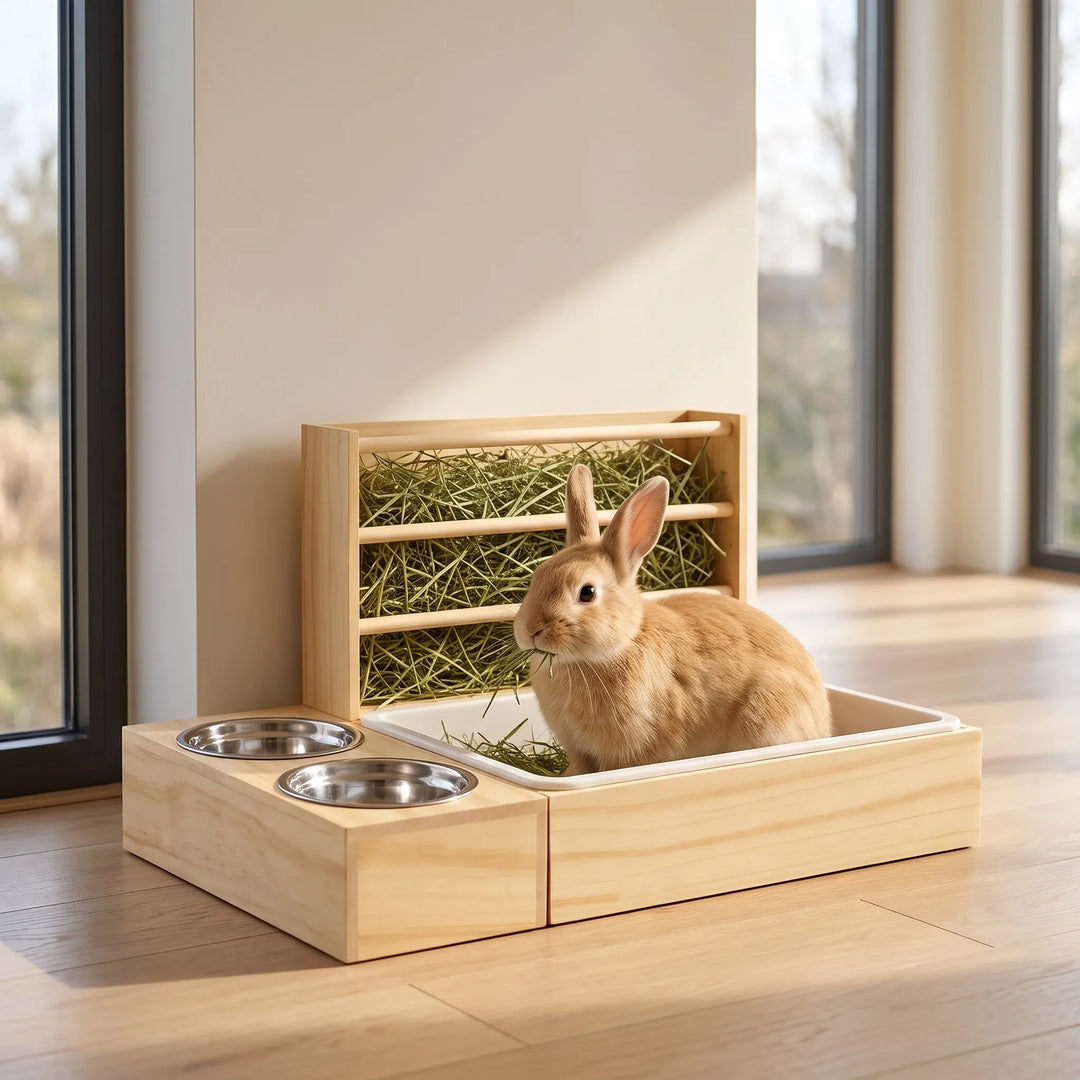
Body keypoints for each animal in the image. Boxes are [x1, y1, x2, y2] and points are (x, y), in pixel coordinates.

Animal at [513, 464, 832, 774]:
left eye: (587, 593)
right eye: (536, 576)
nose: (531, 630)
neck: (612, 650)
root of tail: (823, 722)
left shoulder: (629, 750)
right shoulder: (579, 751)